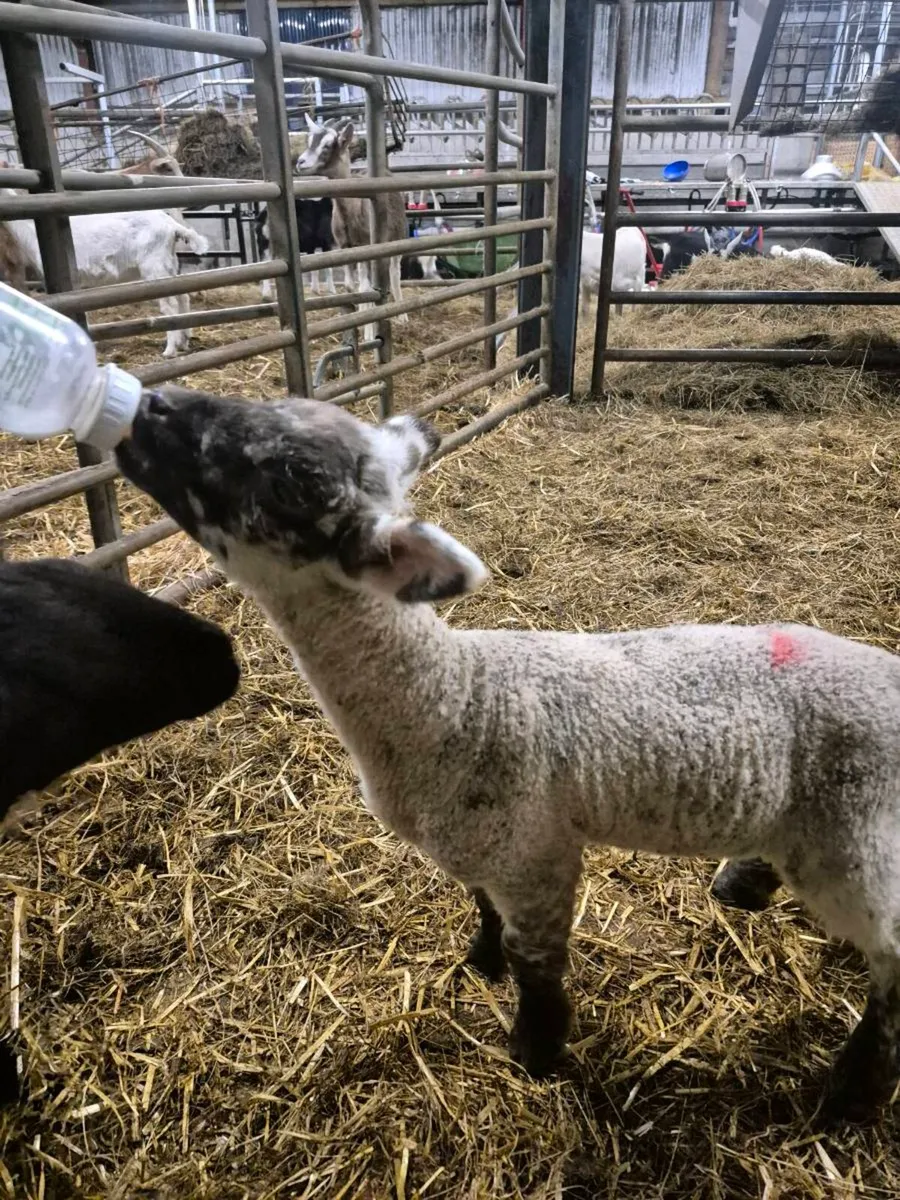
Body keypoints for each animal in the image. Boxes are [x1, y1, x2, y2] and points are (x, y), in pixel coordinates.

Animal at [1, 197, 209, 358]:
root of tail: (171, 226)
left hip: (154, 265)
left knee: (170, 305)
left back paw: (170, 350)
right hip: (168, 263)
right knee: (183, 297)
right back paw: (184, 341)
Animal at [117, 386, 900, 1126]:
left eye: (295, 476)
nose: (152, 406)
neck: (456, 697)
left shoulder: (534, 852)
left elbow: (536, 961)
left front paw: (534, 1050)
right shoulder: (485, 843)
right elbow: (480, 904)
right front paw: (480, 962)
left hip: (854, 840)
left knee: (893, 956)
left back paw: (854, 1090)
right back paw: (742, 882)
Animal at [295, 116, 408, 340]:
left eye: (328, 144)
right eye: (309, 140)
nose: (300, 162)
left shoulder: (367, 246)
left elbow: (367, 285)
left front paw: (370, 333)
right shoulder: (345, 247)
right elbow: (351, 285)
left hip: (396, 238)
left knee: (394, 272)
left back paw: (401, 315)